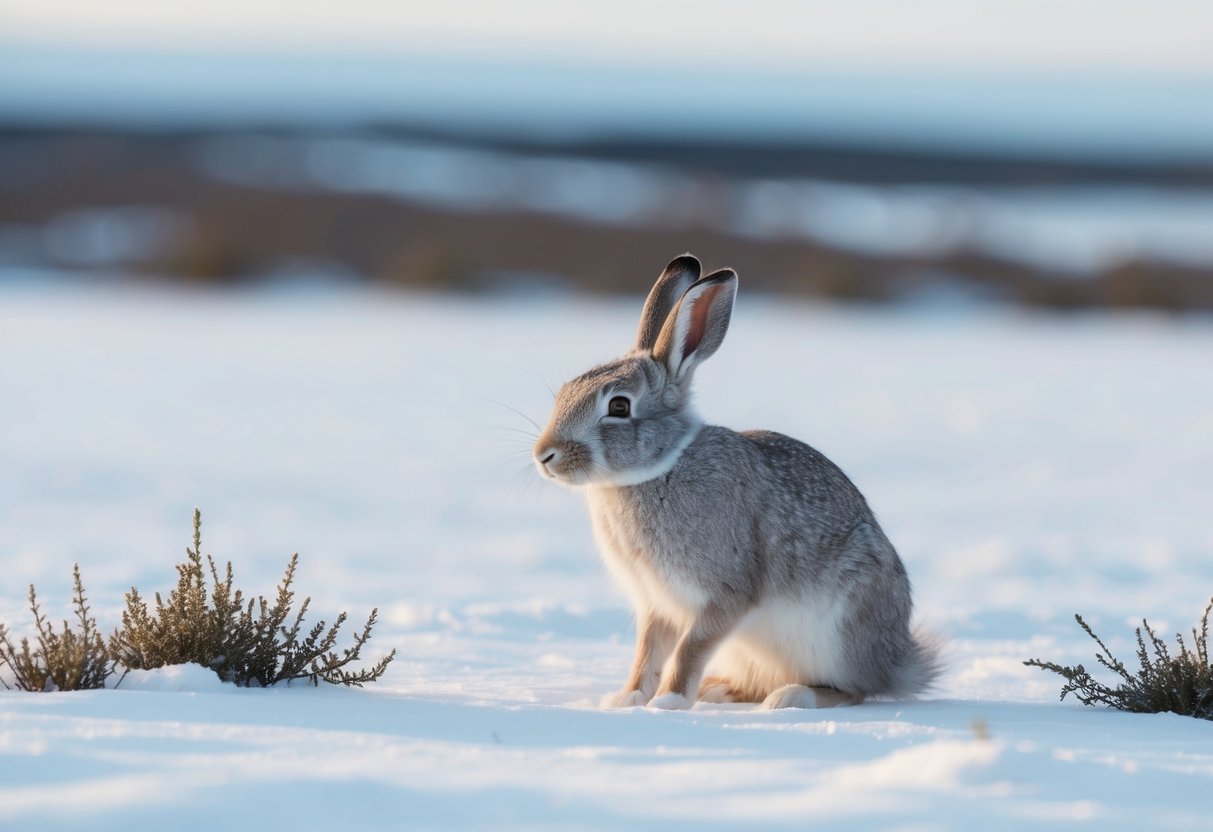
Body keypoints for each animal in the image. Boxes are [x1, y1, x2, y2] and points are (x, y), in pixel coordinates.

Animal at [533, 254, 939, 710]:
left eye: (619, 407)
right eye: (565, 391)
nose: (544, 454)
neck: (658, 469)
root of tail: (899, 661)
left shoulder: (725, 595)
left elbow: (689, 651)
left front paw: (669, 702)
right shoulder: (656, 605)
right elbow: (647, 654)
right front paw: (627, 700)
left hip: (840, 631)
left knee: (855, 690)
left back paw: (792, 696)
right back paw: (721, 690)